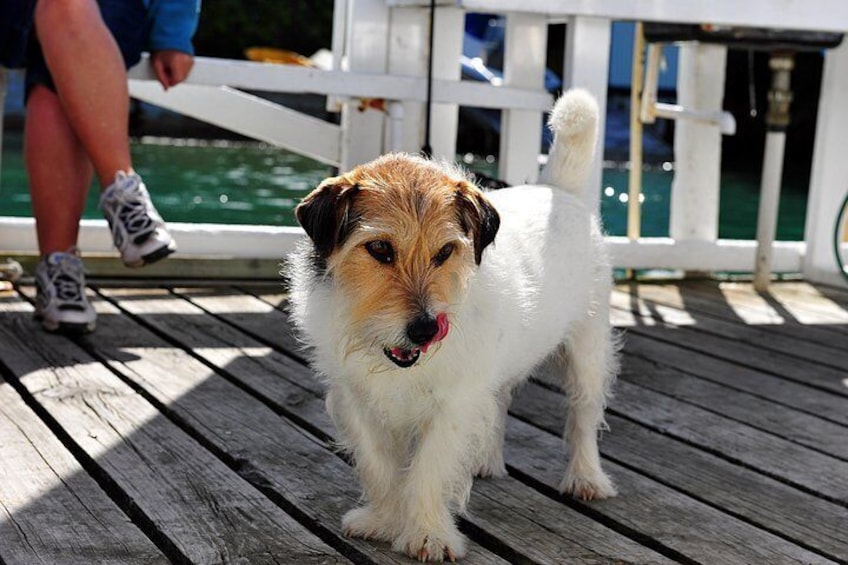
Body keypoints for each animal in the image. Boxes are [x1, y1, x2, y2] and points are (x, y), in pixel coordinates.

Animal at [290, 88, 616, 560]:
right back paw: (484, 460)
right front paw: (383, 519)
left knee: (584, 414)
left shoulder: (454, 404)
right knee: (500, 400)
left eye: (445, 252)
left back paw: (586, 477)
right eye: (380, 249)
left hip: (587, 349)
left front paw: (428, 535)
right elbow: (379, 465)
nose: (426, 329)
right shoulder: (357, 399)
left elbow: (429, 467)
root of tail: (558, 188)